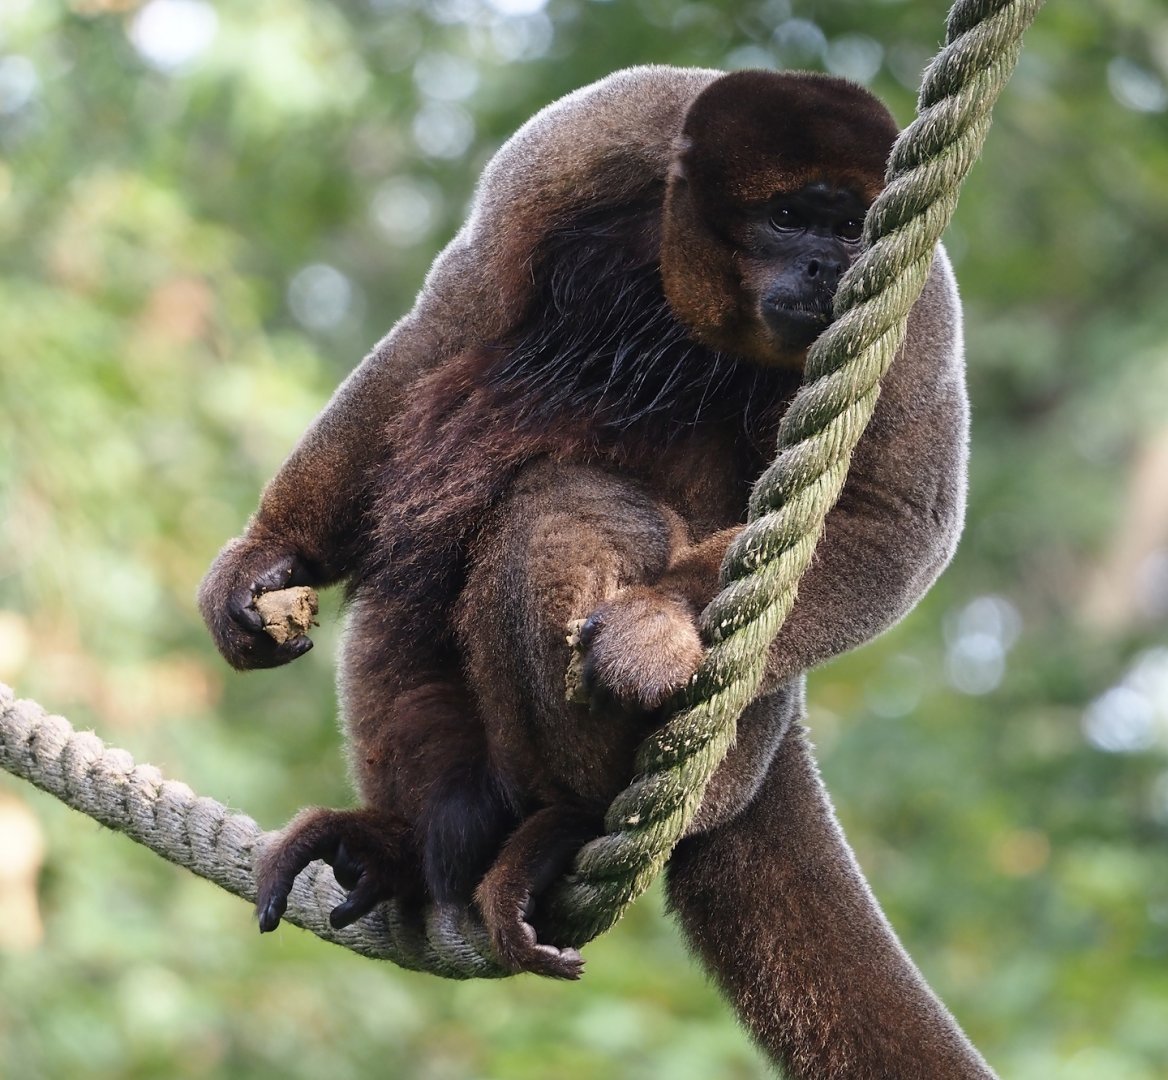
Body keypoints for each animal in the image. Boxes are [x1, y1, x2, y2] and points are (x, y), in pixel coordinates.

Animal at [200, 67, 989, 1075]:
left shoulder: (915, 292)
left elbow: (899, 518)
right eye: (788, 218)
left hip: (736, 741)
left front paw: (657, 628)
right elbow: (446, 324)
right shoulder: (593, 131)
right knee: (414, 565)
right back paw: (412, 846)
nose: (824, 268)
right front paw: (267, 554)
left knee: (558, 506)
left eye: (850, 229)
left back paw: (564, 826)